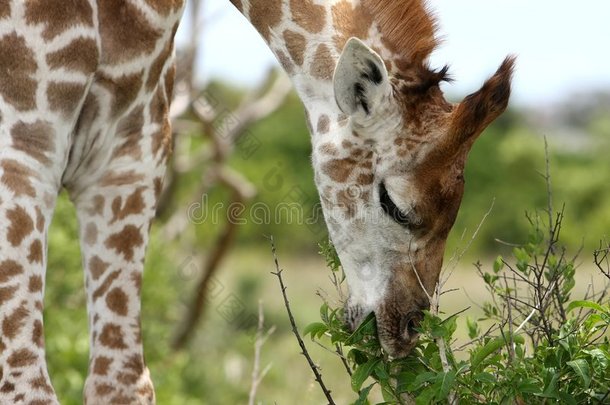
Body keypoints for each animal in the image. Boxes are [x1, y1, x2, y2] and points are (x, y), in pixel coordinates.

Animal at [0, 0, 512, 404]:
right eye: (396, 205)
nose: (405, 329)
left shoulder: (130, 158)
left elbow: (123, 383)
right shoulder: (22, 150)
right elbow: (26, 386)